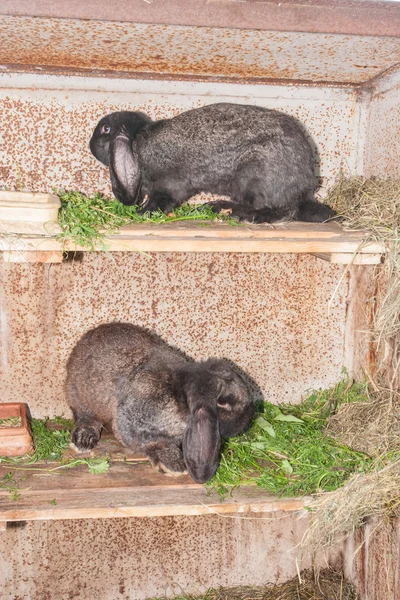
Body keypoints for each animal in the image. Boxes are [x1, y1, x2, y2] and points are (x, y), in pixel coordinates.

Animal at [65, 324, 253, 482]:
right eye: (224, 403)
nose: (248, 418)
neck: (179, 396)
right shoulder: (131, 423)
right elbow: (149, 443)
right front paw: (175, 466)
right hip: (81, 397)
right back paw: (83, 440)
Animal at [90, 102, 334, 224]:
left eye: (105, 129)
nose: (91, 145)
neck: (137, 143)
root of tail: (305, 190)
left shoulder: (168, 184)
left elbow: (159, 200)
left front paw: (142, 213)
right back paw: (217, 207)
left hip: (259, 176)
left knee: (282, 210)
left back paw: (245, 215)